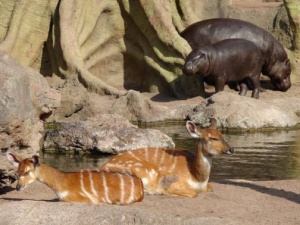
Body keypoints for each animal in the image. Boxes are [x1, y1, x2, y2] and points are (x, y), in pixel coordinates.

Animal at [101, 118, 234, 198]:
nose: (231, 149)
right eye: (212, 138)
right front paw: (165, 191)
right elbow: (192, 193)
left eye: (222, 135)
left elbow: (211, 187)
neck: (197, 178)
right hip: (143, 171)